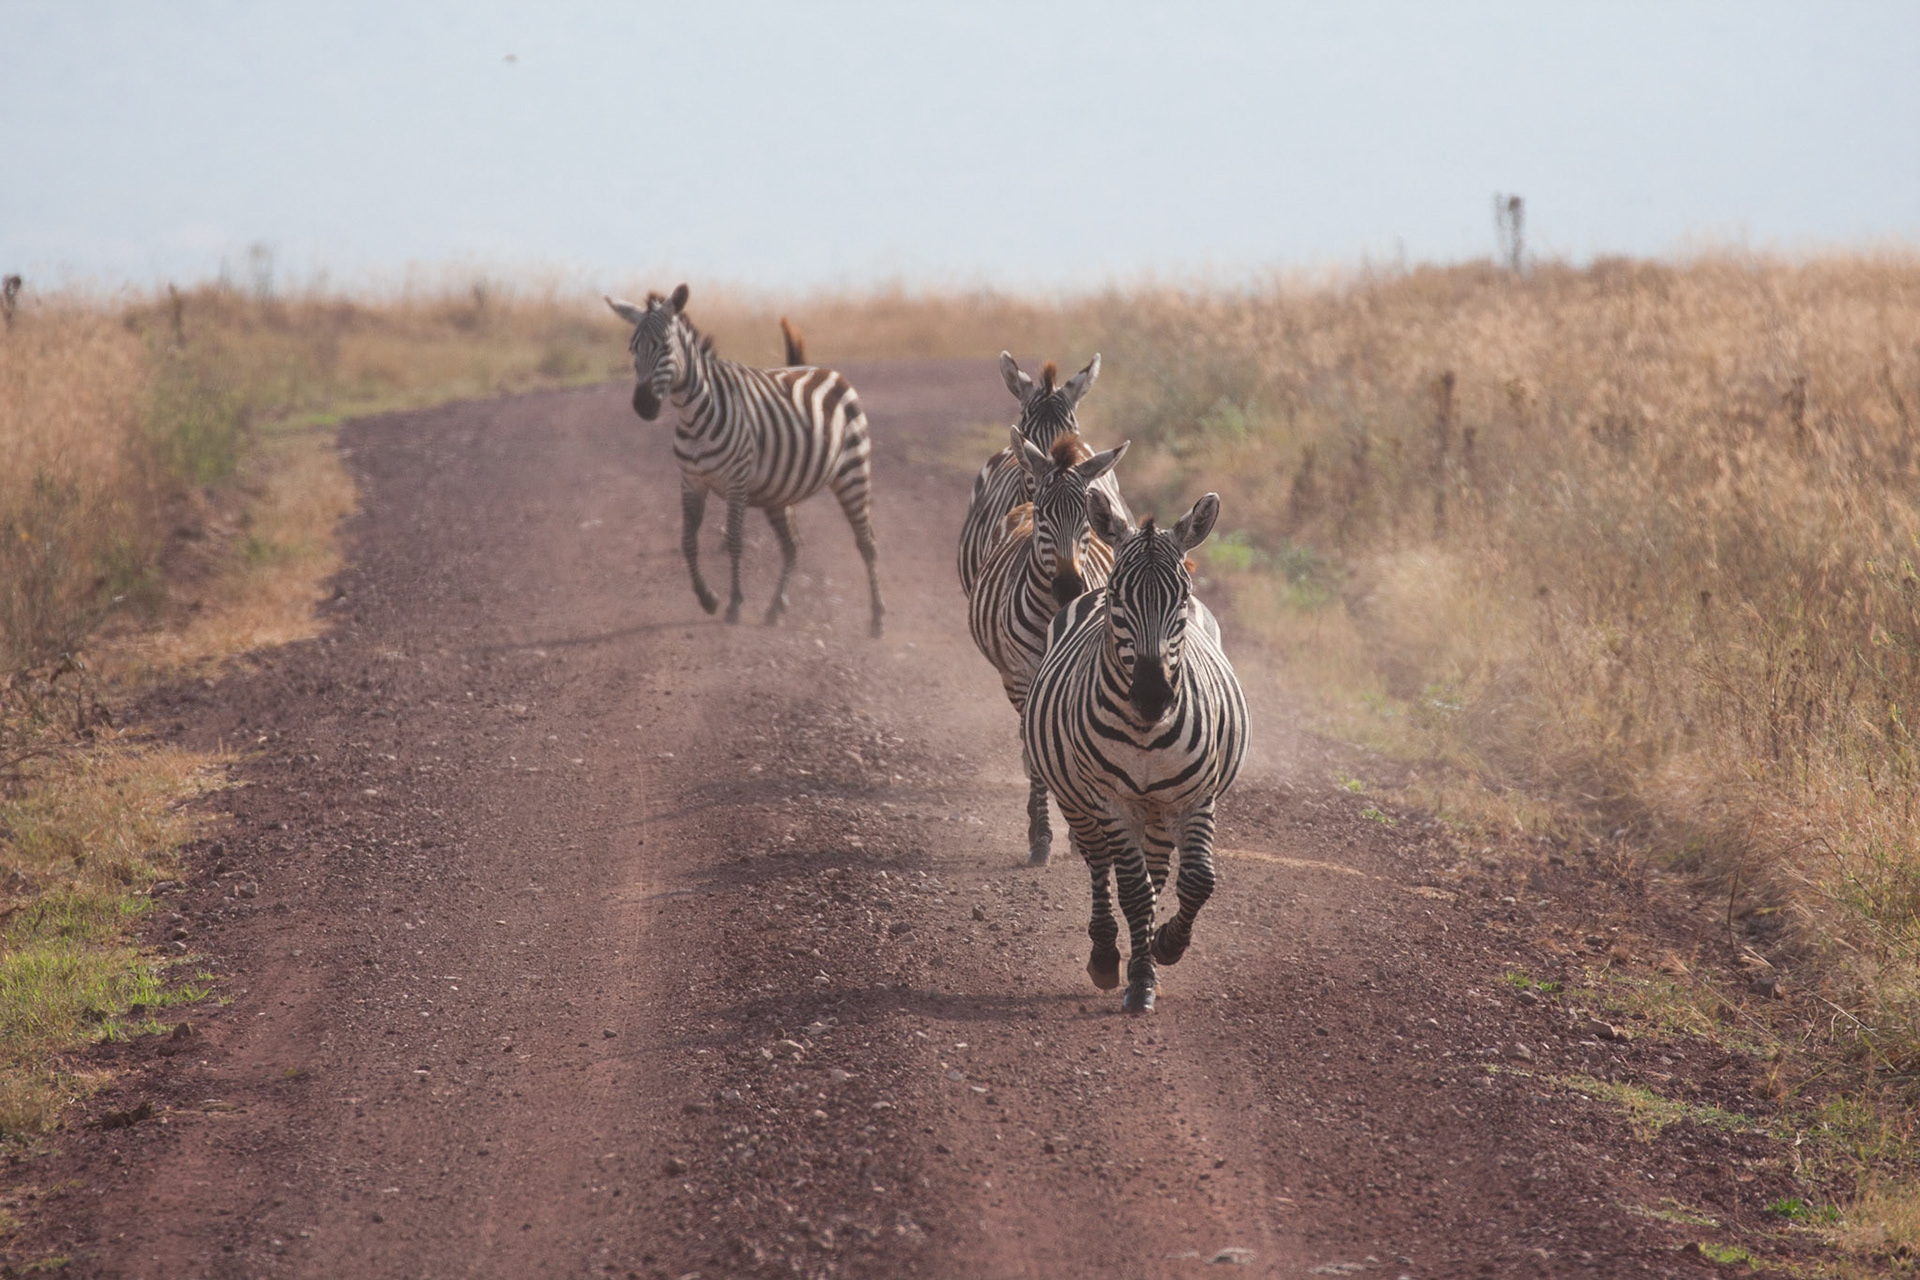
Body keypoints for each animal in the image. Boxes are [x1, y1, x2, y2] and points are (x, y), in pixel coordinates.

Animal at [606, 285, 884, 637]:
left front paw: (735, 604)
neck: (692, 416)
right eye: (633, 348)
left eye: (665, 347)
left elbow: (735, 541)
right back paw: (775, 609)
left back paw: (877, 620)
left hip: (853, 471)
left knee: (867, 542)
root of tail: (824, 370)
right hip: (779, 492)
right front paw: (708, 599)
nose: (643, 406)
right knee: (793, 545)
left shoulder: (736, 482)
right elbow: (687, 541)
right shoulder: (691, 482)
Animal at [966, 427, 1129, 866]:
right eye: (1044, 516)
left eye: (1086, 519)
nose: (1069, 586)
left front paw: (1078, 834)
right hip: (1010, 677)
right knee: (1029, 739)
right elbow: (1041, 757)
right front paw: (1041, 837)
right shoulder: (1024, 674)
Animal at [1022, 489, 1248, 1013]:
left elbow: (1197, 880)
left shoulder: (1195, 797)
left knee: (1157, 871)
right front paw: (1138, 977)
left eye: (1181, 597)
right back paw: (1106, 955)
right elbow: (1133, 891)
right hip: (1080, 800)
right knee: (1100, 863)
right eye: (1118, 598)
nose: (1152, 696)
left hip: (1159, 808)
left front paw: (1164, 948)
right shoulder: (1112, 801)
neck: (1146, 733)